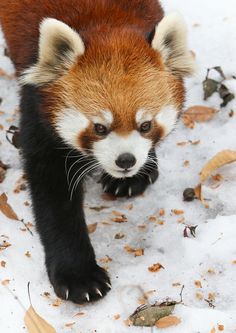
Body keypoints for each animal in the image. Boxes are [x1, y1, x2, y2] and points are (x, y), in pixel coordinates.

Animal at [0, 0, 195, 304]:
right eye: (100, 128)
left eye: (146, 125)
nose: (125, 160)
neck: (107, 20)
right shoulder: (37, 106)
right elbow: (54, 197)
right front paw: (79, 276)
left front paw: (134, 176)